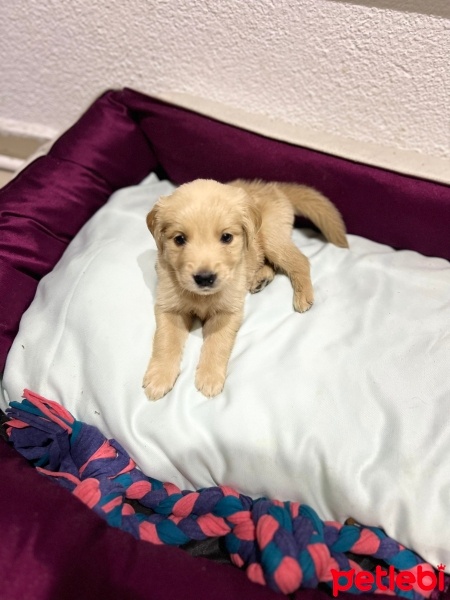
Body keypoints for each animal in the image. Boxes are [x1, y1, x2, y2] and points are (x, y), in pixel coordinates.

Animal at [142, 180, 346, 400]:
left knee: (300, 260)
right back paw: (261, 278)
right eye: (179, 239)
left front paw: (209, 377)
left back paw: (303, 296)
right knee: (270, 263)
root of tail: (275, 187)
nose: (204, 278)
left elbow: (217, 343)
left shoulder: (228, 311)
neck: (203, 297)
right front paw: (159, 377)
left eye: (226, 237)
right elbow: (165, 341)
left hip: (272, 238)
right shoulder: (169, 306)